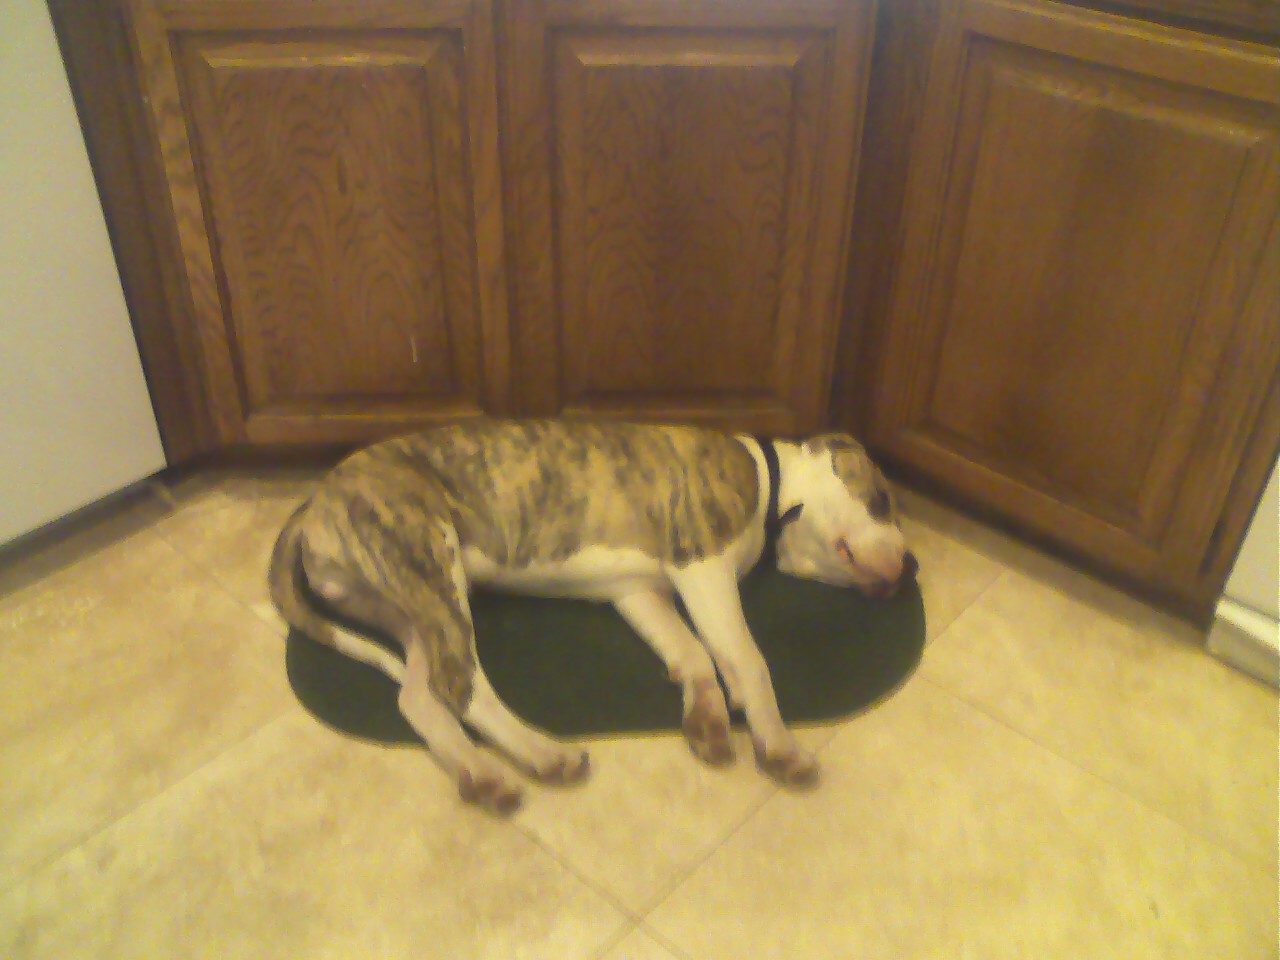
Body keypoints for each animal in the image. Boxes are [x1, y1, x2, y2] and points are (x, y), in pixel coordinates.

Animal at [269, 420, 916, 814]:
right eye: (883, 499)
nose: (910, 568)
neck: (770, 481)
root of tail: (312, 502)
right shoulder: (702, 566)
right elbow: (747, 661)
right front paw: (779, 747)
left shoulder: (640, 593)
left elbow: (692, 654)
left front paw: (707, 719)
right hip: (432, 561)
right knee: (463, 687)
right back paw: (543, 754)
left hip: (410, 605)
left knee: (420, 698)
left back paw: (482, 774)